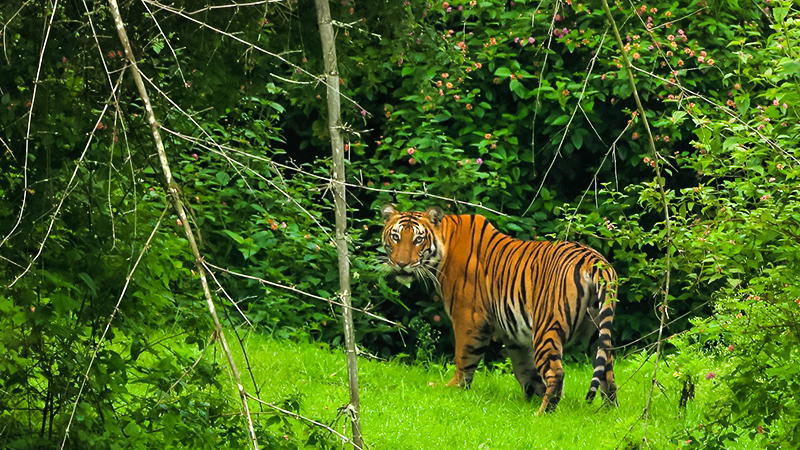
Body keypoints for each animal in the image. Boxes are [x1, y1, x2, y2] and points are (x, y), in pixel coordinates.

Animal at [381, 204, 618, 414]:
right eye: (396, 237)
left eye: (418, 239)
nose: (401, 264)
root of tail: (595, 261)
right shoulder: (513, 333)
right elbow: (524, 369)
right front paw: (532, 394)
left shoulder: (468, 317)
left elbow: (464, 358)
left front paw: (453, 389)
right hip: (597, 331)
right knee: (607, 372)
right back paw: (607, 413)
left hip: (547, 326)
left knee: (557, 373)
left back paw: (542, 414)